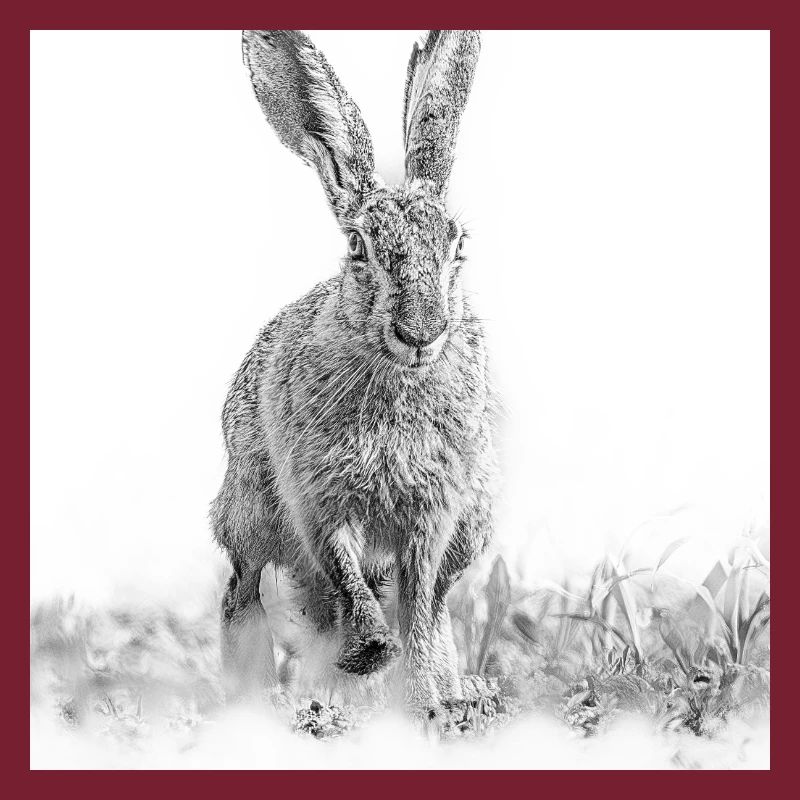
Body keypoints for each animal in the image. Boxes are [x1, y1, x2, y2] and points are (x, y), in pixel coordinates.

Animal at [212, 29, 496, 714]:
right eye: (357, 248)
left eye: (458, 246)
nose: (421, 332)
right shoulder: (319, 500)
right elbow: (346, 579)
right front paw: (368, 655)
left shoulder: (433, 514)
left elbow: (418, 605)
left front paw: (426, 700)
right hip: (250, 510)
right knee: (244, 593)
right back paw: (262, 696)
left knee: (434, 605)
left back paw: (450, 691)